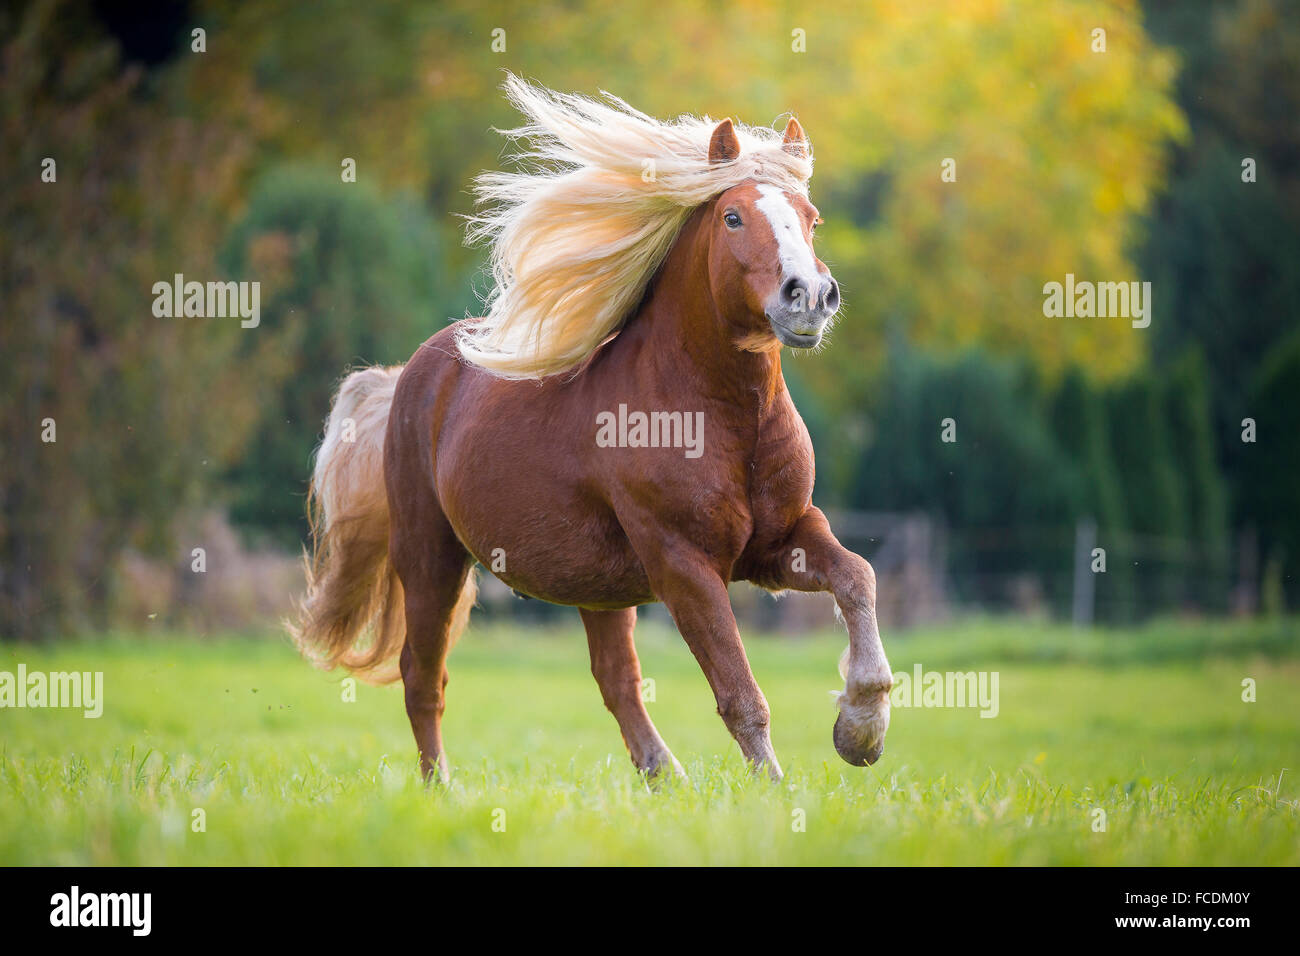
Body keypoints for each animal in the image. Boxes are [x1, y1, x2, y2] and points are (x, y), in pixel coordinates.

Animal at [291, 76, 894, 783]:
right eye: (733, 217)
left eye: (811, 217)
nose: (810, 297)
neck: (722, 418)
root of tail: (410, 374)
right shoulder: (683, 564)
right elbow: (740, 692)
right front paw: (775, 787)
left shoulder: (780, 541)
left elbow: (857, 576)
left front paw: (860, 730)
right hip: (429, 553)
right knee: (423, 676)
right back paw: (445, 788)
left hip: (596, 587)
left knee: (614, 679)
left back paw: (667, 780)